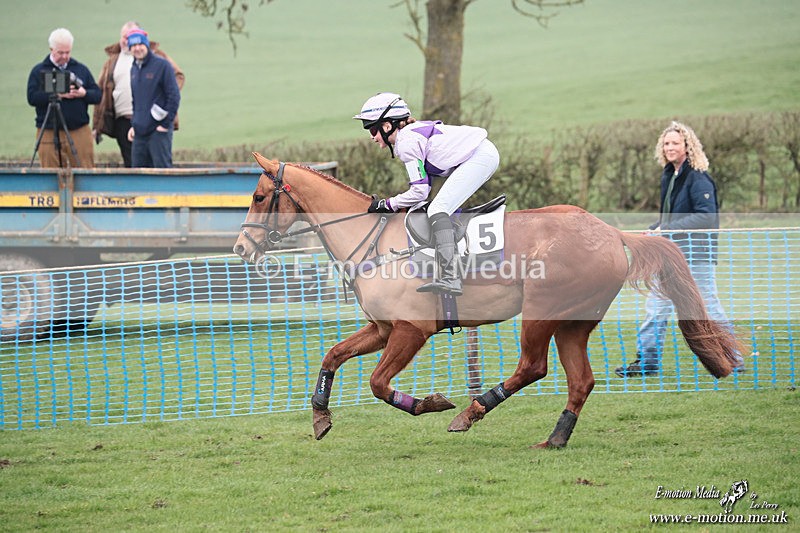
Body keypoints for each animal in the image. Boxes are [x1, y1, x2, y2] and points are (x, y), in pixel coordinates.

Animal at [233, 152, 742, 448]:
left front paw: (431, 403)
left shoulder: (410, 331)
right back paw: (554, 439)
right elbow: (333, 355)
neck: (373, 241)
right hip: (573, 323)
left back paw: (471, 412)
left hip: (542, 312)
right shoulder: (381, 329)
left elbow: (378, 383)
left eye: (258, 196)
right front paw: (320, 417)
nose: (240, 248)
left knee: (533, 367)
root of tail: (611, 232)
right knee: (580, 381)